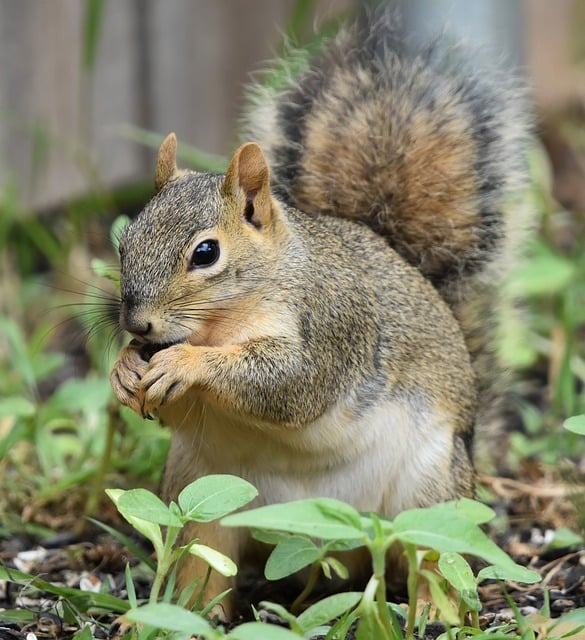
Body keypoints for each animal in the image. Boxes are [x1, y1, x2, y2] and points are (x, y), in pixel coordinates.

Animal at [110, 10, 530, 618]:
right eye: (125, 241)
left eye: (206, 253)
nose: (137, 326)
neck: (225, 320)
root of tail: (335, 549)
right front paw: (124, 368)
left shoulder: (334, 326)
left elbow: (292, 384)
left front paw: (186, 363)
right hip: (201, 501)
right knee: (201, 566)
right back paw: (184, 615)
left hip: (430, 499)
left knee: (435, 560)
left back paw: (434, 609)